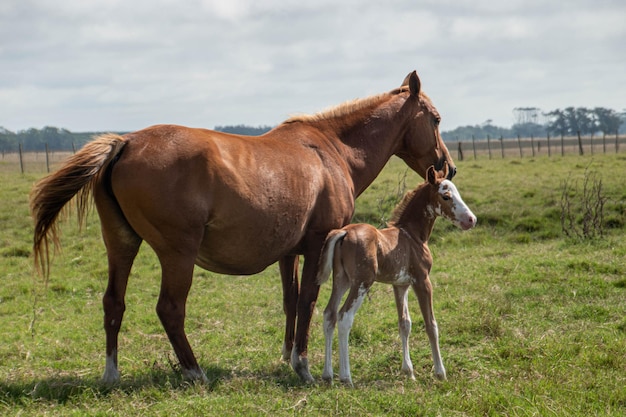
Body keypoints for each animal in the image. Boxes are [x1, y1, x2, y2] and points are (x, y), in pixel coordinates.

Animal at [316, 164, 472, 386]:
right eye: (446, 196)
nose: (471, 220)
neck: (412, 235)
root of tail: (344, 232)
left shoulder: (400, 285)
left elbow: (404, 323)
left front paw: (409, 372)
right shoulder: (422, 281)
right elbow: (431, 324)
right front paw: (440, 372)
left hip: (342, 280)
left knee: (329, 314)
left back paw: (327, 374)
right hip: (362, 282)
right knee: (344, 317)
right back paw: (346, 377)